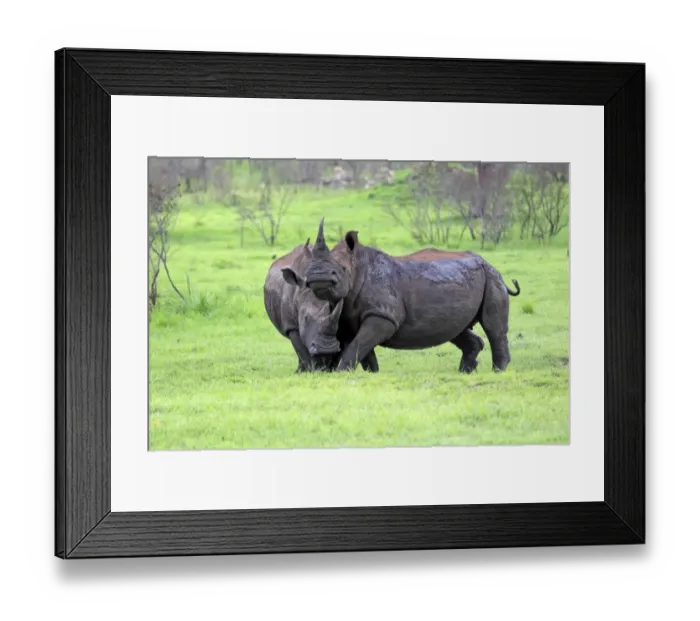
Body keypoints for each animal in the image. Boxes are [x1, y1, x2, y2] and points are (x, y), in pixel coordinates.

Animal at [263, 239, 379, 373]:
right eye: (305, 318)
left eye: (340, 320)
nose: (326, 349)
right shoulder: (291, 326)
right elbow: (302, 350)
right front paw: (311, 371)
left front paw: (327, 370)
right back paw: (300, 371)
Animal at [298, 218, 521, 373]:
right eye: (311, 264)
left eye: (342, 269)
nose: (318, 275)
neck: (357, 266)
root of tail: (488, 263)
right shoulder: (347, 315)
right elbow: (361, 347)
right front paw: (371, 374)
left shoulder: (383, 315)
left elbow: (358, 344)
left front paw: (343, 372)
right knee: (456, 329)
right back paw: (465, 373)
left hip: (492, 277)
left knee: (493, 328)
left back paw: (497, 372)